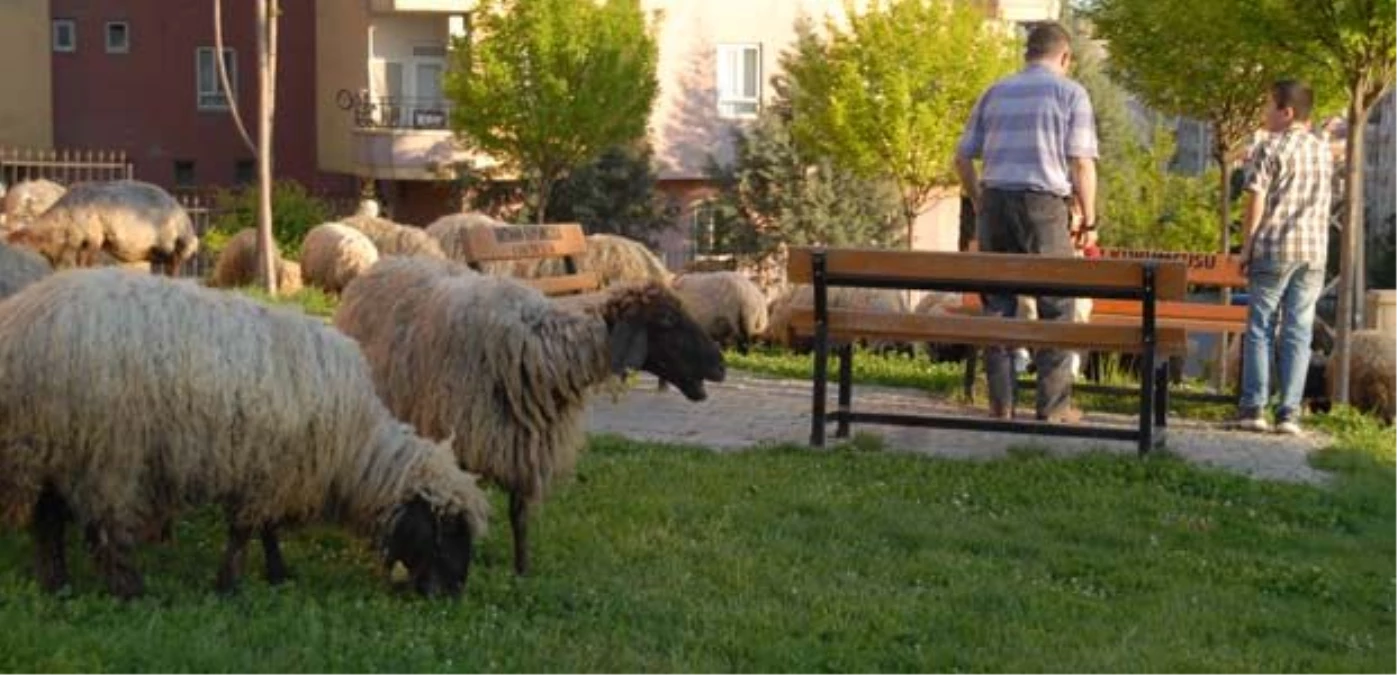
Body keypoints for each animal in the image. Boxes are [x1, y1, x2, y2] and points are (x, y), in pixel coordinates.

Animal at [0, 266, 491, 600]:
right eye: (448, 530)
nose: (453, 594)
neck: (353, 444)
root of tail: (21, 323)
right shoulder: (266, 469)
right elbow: (244, 531)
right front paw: (231, 584)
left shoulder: (274, 473)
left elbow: (266, 529)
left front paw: (277, 572)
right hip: (108, 450)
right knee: (105, 524)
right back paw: (130, 590)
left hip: (53, 445)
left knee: (46, 520)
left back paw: (57, 584)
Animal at [333, 257, 726, 575]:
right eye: (667, 320)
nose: (721, 367)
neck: (542, 353)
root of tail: (384, 263)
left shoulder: (525, 447)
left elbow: (519, 516)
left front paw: (522, 571)